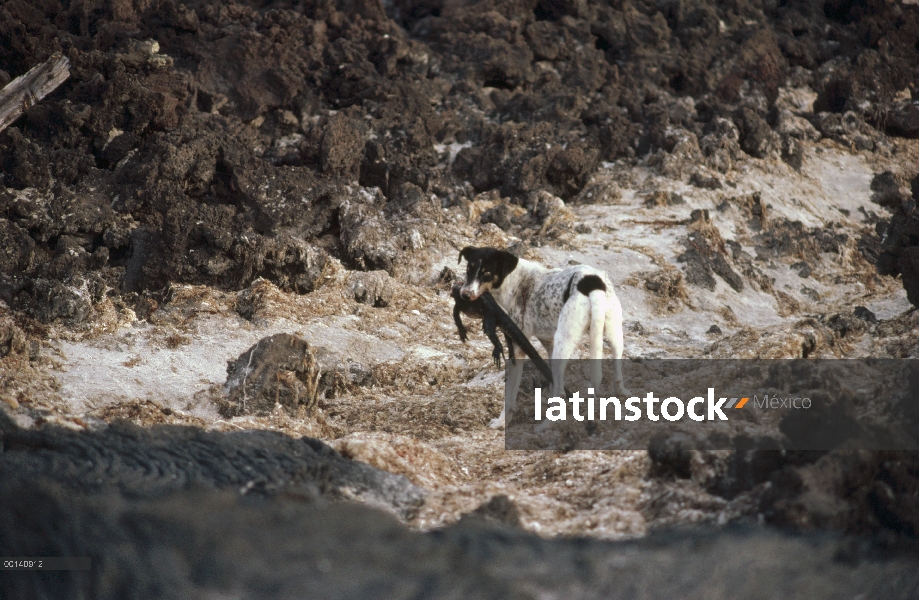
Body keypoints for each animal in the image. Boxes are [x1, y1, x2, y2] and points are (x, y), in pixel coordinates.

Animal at [458, 246, 624, 428]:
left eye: (487, 273)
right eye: (469, 269)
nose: (464, 294)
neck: (515, 282)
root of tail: (591, 282)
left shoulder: (518, 349)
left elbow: (510, 396)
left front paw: (502, 422)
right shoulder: (548, 344)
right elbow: (550, 379)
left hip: (563, 344)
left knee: (560, 391)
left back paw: (545, 426)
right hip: (613, 336)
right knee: (618, 373)